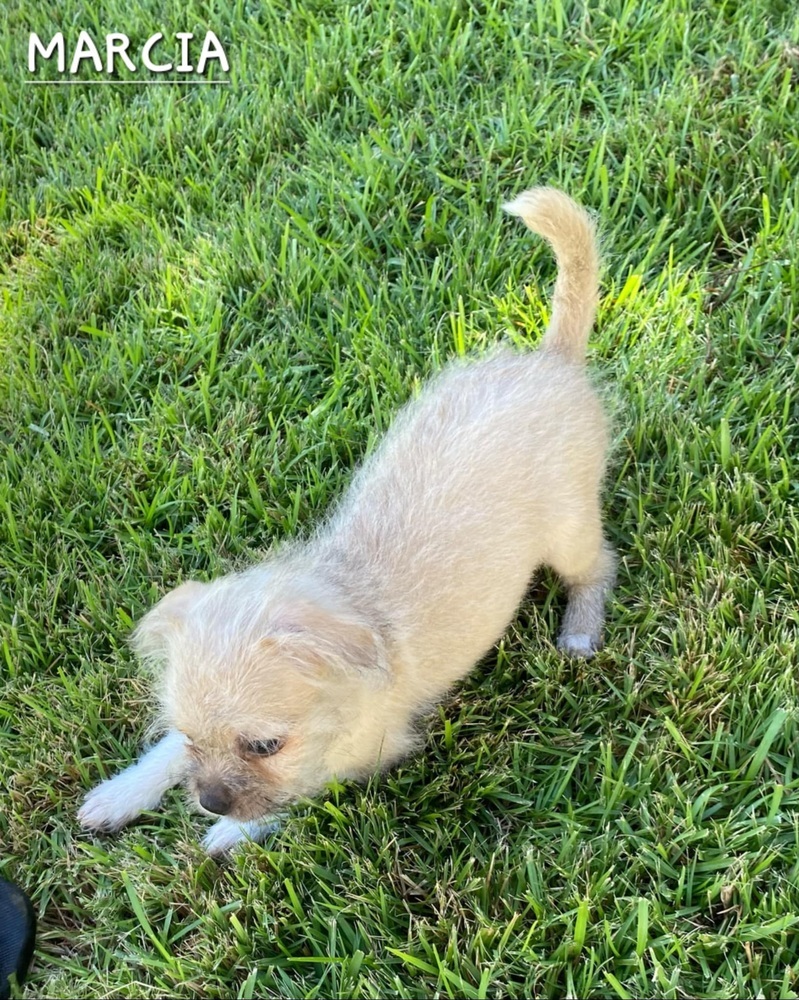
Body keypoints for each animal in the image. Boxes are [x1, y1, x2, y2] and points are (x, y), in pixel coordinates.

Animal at [78, 186, 616, 852]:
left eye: (265, 746)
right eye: (190, 735)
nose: (208, 802)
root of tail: (553, 360)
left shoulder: (366, 752)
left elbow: (302, 788)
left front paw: (233, 833)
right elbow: (164, 756)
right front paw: (123, 792)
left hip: (570, 530)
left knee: (599, 566)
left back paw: (580, 629)